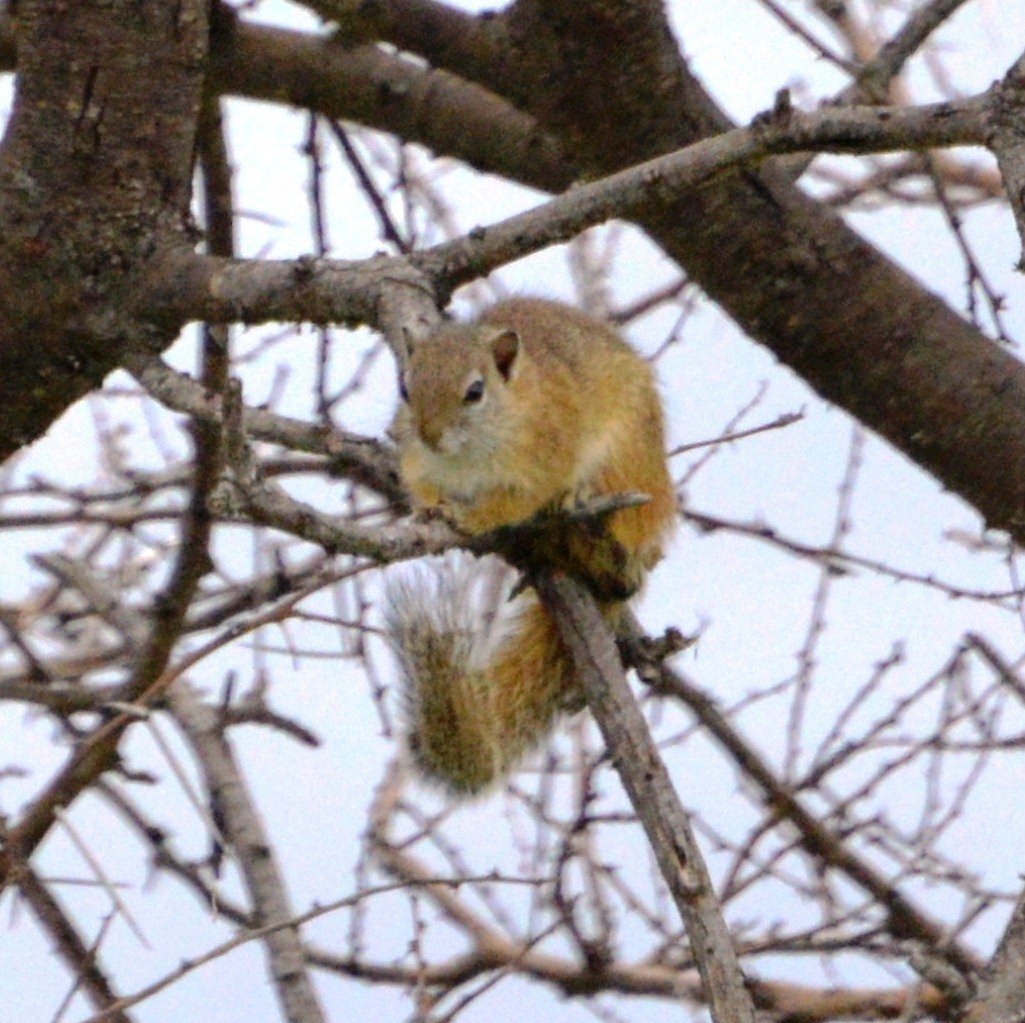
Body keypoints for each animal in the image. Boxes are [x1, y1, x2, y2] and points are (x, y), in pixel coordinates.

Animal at [385, 299, 672, 795]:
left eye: (475, 391)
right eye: (405, 385)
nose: (429, 434)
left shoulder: (542, 458)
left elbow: (513, 503)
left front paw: (469, 518)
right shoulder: (418, 462)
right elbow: (421, 486)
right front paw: (427, 512)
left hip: (626, 464)